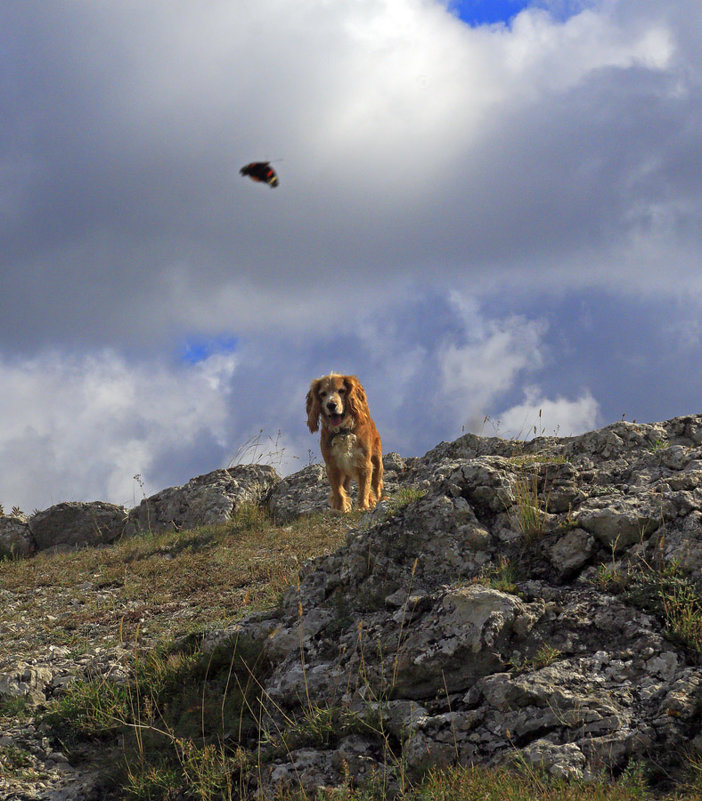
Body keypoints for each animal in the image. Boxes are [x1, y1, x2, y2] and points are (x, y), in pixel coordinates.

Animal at [308, 374, 384, 512]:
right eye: (323, 394)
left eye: (341, 391)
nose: (331, 405)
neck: (343, 431)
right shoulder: (332, 465)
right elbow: (338, 491)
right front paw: (340, 509)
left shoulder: (364, 463)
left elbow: (364, 488)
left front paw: (363, 506)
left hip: (377, 461)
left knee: (376, 485)